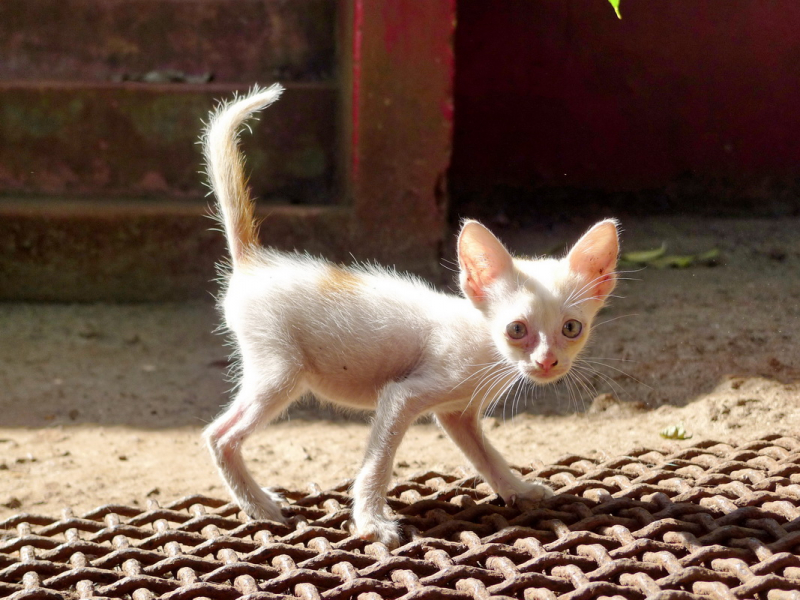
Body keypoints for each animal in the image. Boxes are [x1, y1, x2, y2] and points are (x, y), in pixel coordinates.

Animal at [200, 84, 620, 548]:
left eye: (571, 328)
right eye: (517, 329)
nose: (547, 362)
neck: (483, 347)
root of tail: (254, 261)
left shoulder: (458, 413)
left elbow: (487, 456)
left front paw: (519, 490)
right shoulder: (402, 396)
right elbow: (378, 462)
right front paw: (371, 520)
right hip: (280, 369)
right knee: (219, 436)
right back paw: (258, 506)